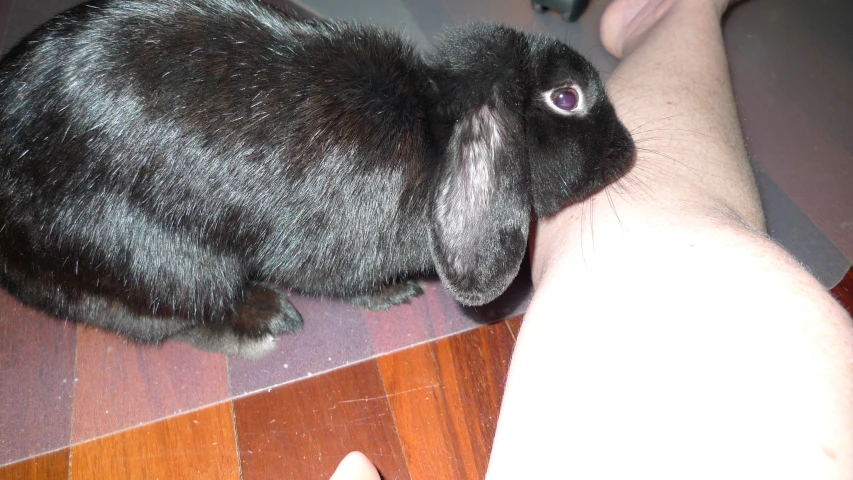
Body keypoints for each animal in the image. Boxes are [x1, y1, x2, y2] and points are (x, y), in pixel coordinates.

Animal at [0, 0, 632, 356]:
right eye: (566, 97)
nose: (628, 153)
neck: (433, 127)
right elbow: (346, 285)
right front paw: (395, 294)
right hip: (163, 259)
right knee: (169, 319)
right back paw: (268, 318)